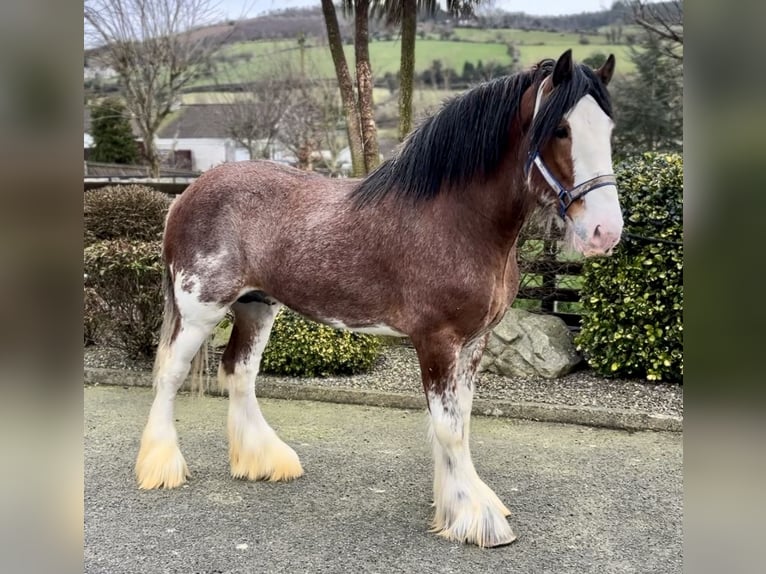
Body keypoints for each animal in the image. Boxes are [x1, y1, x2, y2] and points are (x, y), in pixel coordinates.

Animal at [134, 51, 624, 552]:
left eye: (608, 127)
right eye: (560, 129)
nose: (605, 231)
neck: (456, 220)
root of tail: (187, 194)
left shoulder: (474, 344)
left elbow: (461, 420)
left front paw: (454, 504)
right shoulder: (436, 340)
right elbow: (448, 426)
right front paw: (476, 518)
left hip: (256, 306)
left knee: (239, 373)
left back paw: (264, 460)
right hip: (200, 309)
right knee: (170, 374)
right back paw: (161, 468)